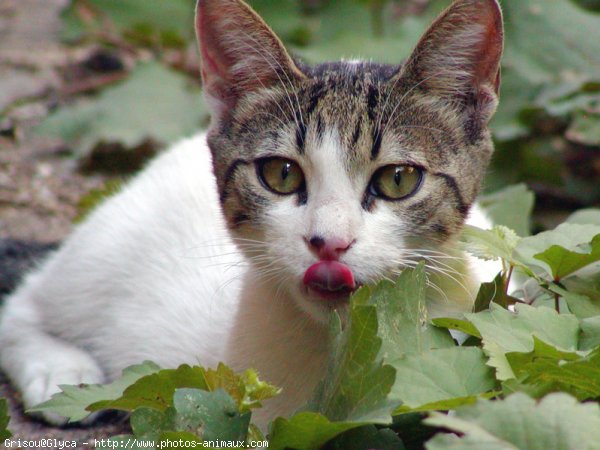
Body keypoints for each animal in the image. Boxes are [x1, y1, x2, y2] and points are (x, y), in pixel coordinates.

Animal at [0, 0, 502, 428]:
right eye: (281, 174)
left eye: (398, 179)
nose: (329, 242)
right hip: (98, 261)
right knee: (23, 302)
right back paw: (60, 372)